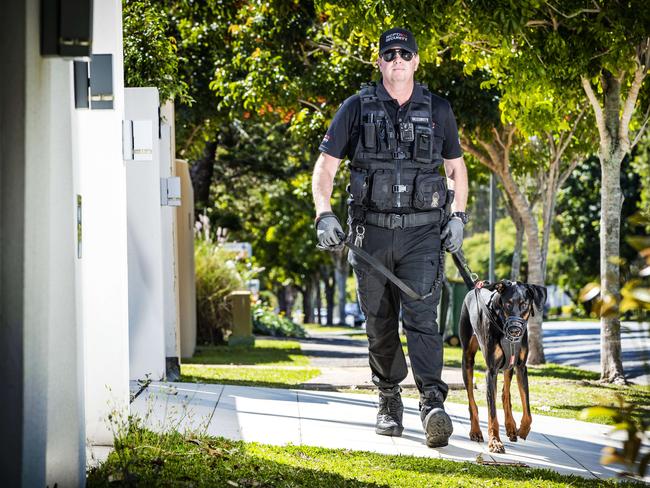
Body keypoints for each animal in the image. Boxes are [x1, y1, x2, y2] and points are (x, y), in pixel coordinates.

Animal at [458, 278, 544, 454]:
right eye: (508, 304)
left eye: (524, 304)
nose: (515, 330)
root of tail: (473, 288)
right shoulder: (491, 371)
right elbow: (492, 414)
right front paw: (495, 442)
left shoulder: (521, 367)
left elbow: (527, 409)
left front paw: (522, 429)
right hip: (467, 359)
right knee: (471, 400)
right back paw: (475, 430)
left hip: (508, 365)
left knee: (505, 394)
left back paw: (511, 426)